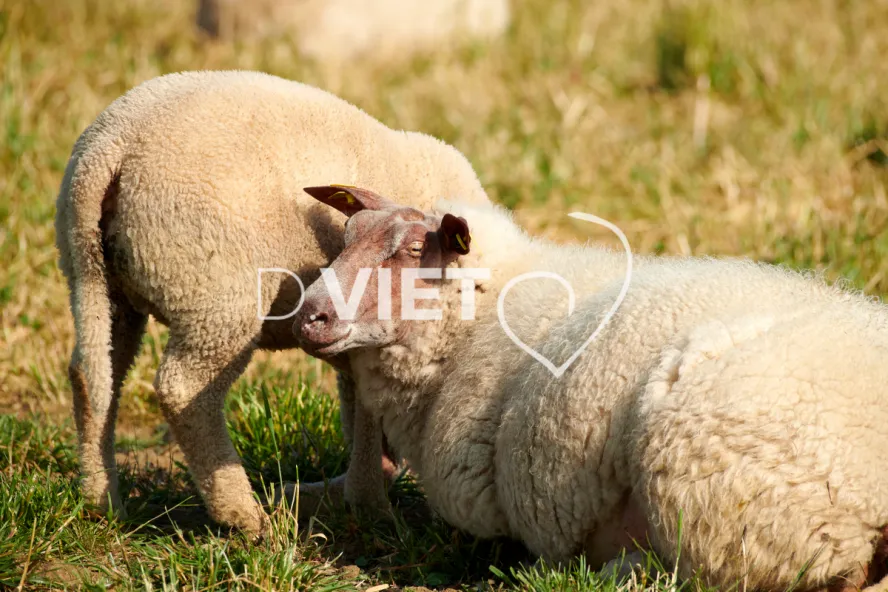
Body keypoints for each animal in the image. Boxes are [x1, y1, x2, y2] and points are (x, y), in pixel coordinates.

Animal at [53, 70, 490, 536]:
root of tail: (109, 146)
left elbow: (358, 411)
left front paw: (345, 492)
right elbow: (368, 416)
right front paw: (370, 504)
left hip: (96, 275)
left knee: (95, 376)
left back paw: (101, 502)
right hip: (216, 294)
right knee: (183, 389)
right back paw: (243, 515)